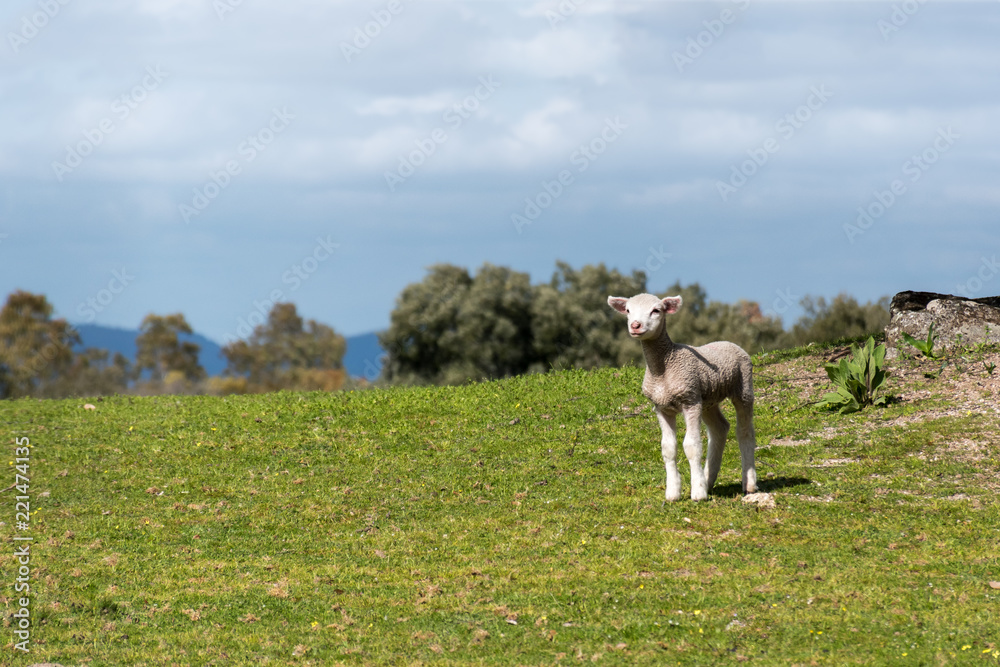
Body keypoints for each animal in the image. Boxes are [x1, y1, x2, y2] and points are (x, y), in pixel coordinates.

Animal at [607, 293, 758, 501]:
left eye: (656, 310)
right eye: (628, 310)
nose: (635, 325)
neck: (662, 370)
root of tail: (728, 342)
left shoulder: (689, 401)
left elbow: (692, 446)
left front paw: (698, 493)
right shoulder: (661, 407)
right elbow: (668, 448)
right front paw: (673, 493)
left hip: (742, 387)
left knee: (744, 431)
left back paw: (749, 483)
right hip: (707, 398)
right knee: (719, 428)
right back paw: (708, 479)